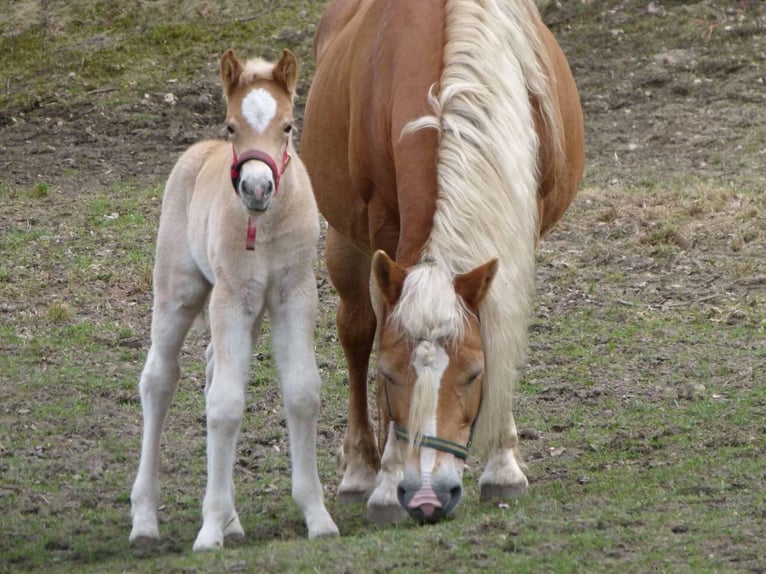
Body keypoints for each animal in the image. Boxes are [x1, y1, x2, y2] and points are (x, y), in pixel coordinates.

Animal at [131, 49, 340, 552]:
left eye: (288, 125)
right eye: (231, 126)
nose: (257, 188)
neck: (263, 229)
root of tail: (196, 152)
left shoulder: (293, 295)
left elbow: (302, 392)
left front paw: (318, 516)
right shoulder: (230, 299)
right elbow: (225, 406)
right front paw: (208, 532)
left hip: (251, 313)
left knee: (209, 367)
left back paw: (231, 519)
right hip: (179, 292)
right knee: (159, 379)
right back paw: (145, 520)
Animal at [304, 0, 584, 528]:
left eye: (474, 373)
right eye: (391, 375)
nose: (428, 496)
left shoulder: (521, 223)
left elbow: (502, 324)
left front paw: (503, 466)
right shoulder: (383, 233)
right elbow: (377, 340)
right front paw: (387, 483)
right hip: (344, 239)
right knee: (356, 331)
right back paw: (360, 470)